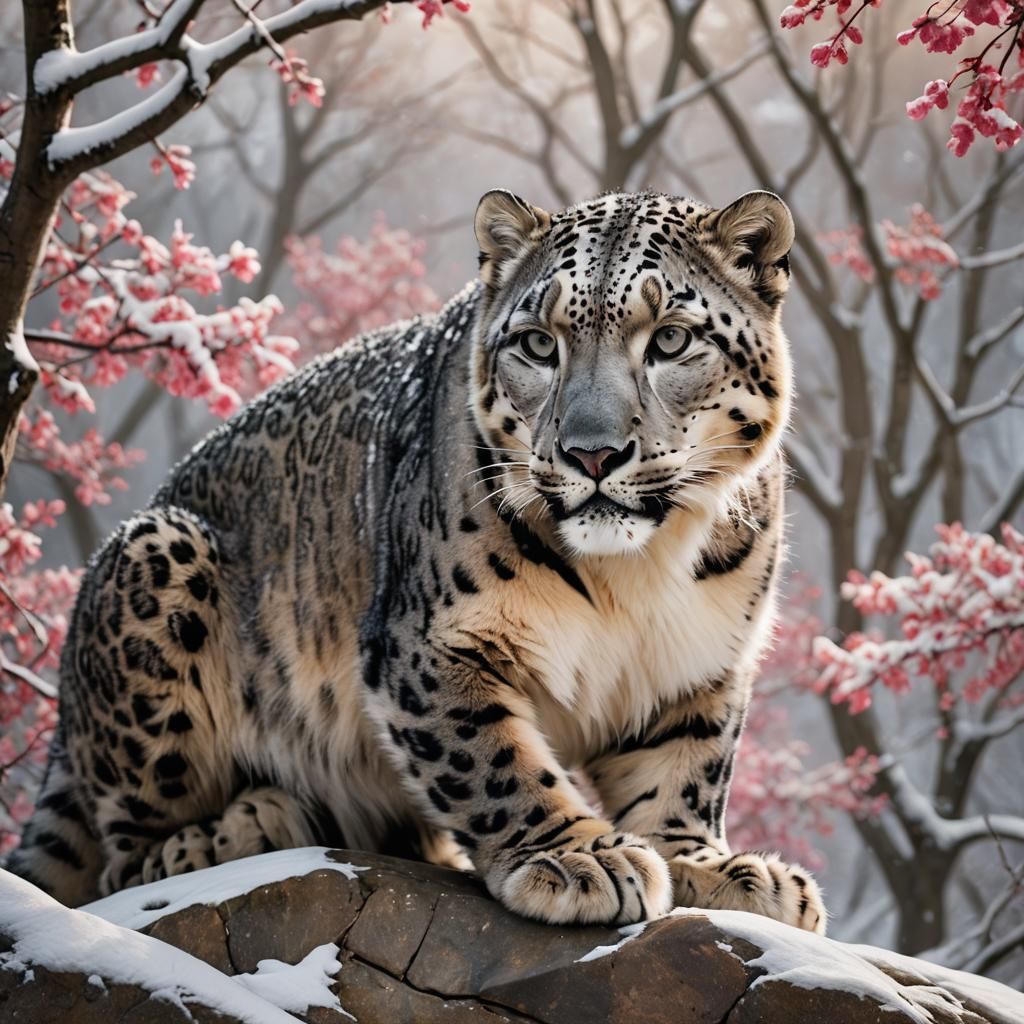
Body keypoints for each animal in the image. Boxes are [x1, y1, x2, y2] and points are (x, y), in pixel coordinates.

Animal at [8, 187, 826, 934]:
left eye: (671, 340)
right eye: (539, 344)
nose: (591, 453)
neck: (639, 576)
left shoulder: (698, 663)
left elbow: (685, 771)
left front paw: (716, 869)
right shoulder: (432, 643)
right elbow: (492, 760)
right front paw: (578, 858)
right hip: (160, 562)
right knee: (126, 860)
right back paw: (246, 826)